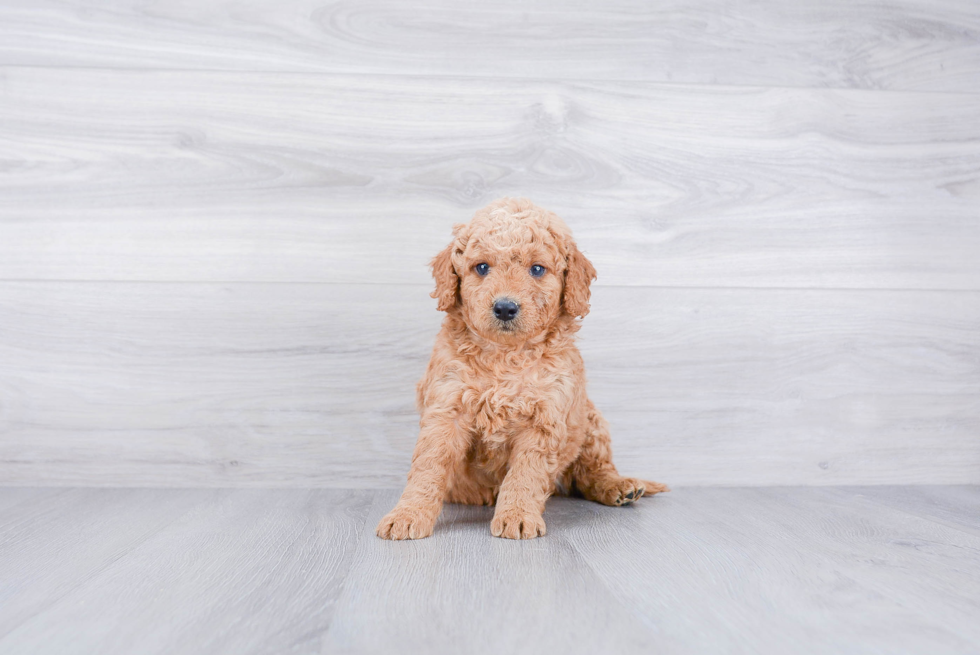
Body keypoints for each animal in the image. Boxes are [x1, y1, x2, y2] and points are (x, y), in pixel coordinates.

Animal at [376, 197, 668, 540]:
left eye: (537, 269)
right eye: (482, 267)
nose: (505, 307)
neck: (505, 356)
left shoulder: (544, 418)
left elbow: (525, 474)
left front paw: (516, 515)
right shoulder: (446, 409)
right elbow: (429, 468)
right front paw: (408, 514)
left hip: (590, 420)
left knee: (591, 471)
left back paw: (619, 486)